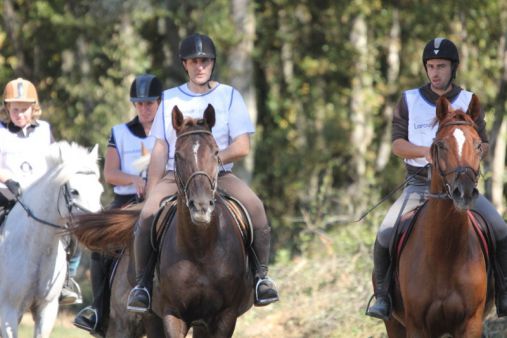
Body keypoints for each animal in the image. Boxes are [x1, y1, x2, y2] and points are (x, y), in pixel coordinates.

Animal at [71, 104, 254, 336]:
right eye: (177, 155)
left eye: (215, 152)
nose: (201, 206)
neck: (201, 248)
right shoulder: (170, 315)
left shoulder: (224, 317)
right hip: (135, 321)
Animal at [386, 95, 494, 338]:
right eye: (441, 145)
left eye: (478, 145)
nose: (464, 192)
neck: (444, 253)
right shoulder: (417, 327)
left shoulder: (471, 324)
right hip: (393, 324)